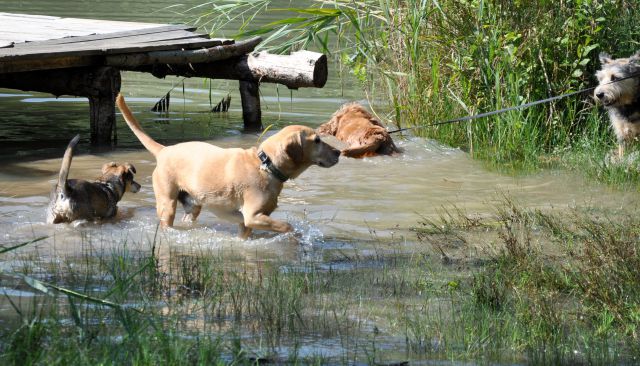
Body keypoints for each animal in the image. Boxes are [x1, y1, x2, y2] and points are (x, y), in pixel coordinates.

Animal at [117, 93, 342, 239]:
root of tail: (164, 150)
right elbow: (287, 226)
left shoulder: (246, 223)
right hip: (167, 204)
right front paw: (296, 237)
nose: (339, 152)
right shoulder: (252, 216)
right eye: (317, 140)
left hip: (192, 205)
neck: (266, 165)